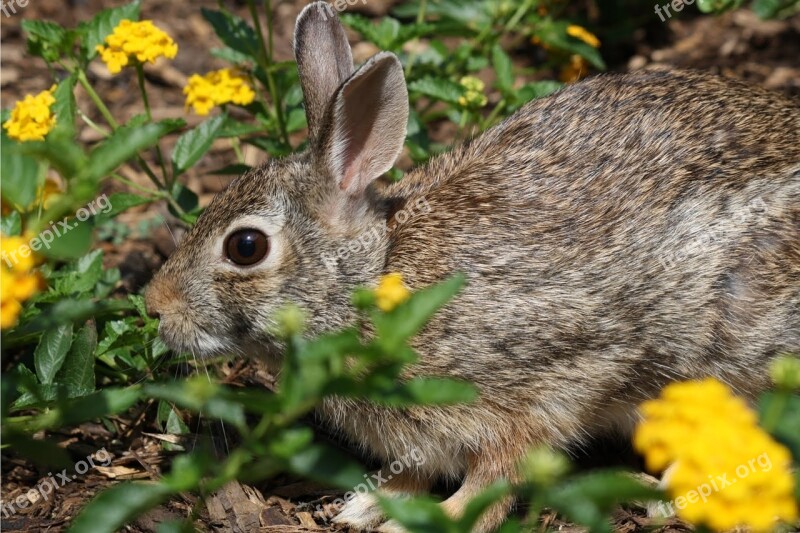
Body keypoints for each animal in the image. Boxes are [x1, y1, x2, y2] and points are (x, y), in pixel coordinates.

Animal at [145, 2, 800, 528]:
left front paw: (434, 520)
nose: (154, 307)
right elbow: (413, 472)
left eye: (245, 247)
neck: (374, 277)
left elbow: (496, 477)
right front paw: (365, 506)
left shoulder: (541, 385)